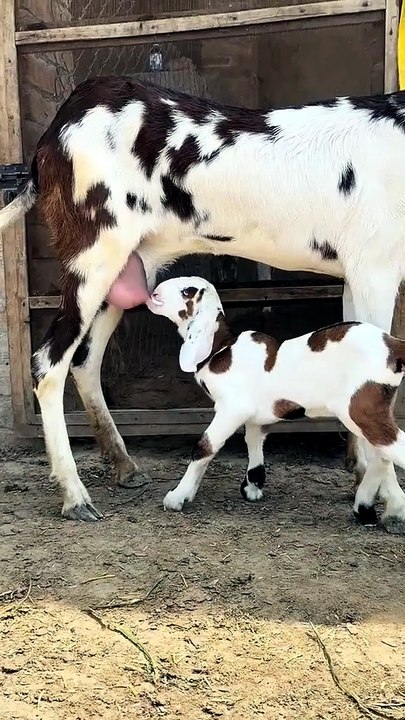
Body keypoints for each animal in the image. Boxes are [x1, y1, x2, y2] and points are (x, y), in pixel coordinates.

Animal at [147, 276, 405, 524]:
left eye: (187, 291)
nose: (154, 292)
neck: (222, 348)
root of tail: (392, 345)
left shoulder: (232, 407)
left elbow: (204, 446)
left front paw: (178, 497)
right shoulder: (256, 416)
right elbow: (253, 442)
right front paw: (252, 487)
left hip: (362, 410)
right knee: (380, 456)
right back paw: (369, 510)